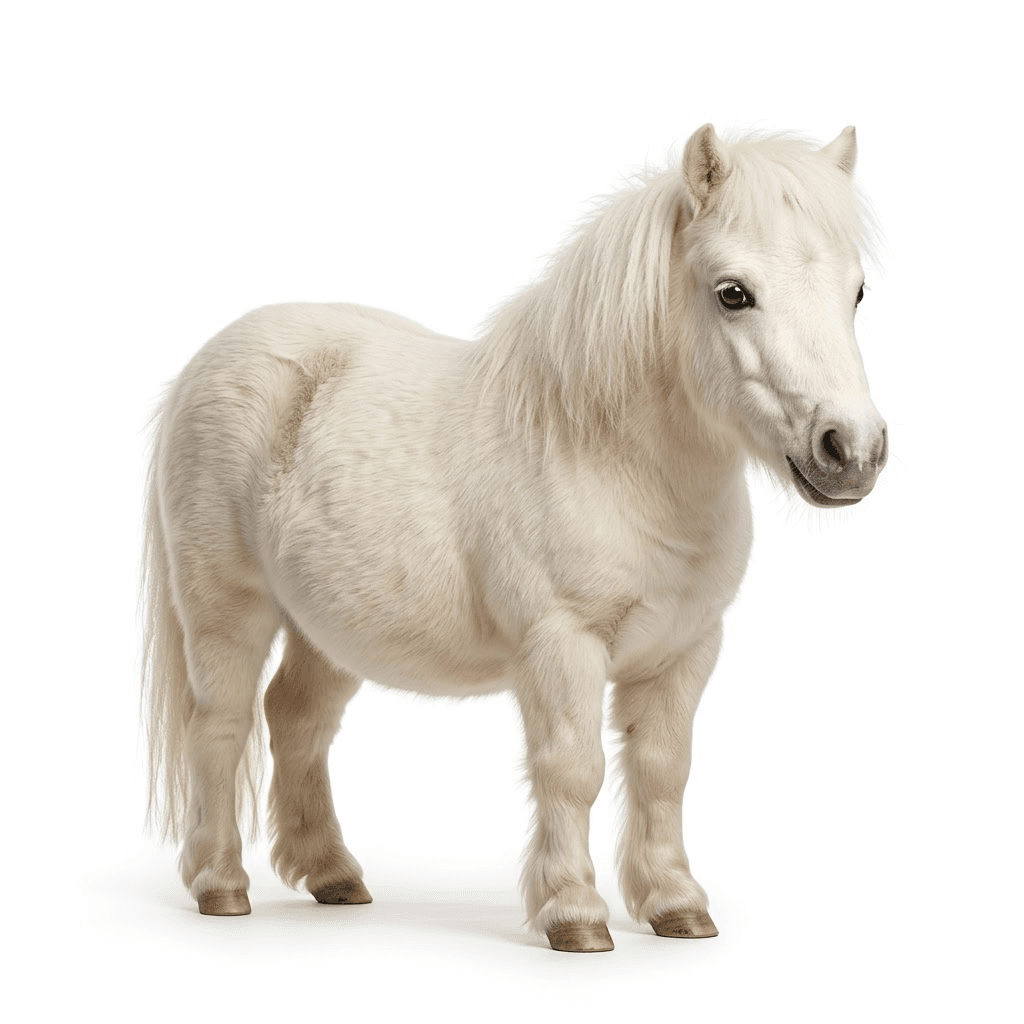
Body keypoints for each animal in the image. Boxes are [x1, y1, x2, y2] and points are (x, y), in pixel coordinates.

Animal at [142, 124, 887, 952]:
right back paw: (220, 885)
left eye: (856, 292)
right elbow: (574, 769)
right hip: (226, 612)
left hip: (327, 630)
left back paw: (332, 874)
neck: (609, 456)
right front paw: (575, 914)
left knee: (296, 720)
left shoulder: (685, 651)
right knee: (222, 725)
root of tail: (207, 363)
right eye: (733, 292)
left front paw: (676, 905)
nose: (851, 451)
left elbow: (664, 770)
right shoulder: (562, 647)